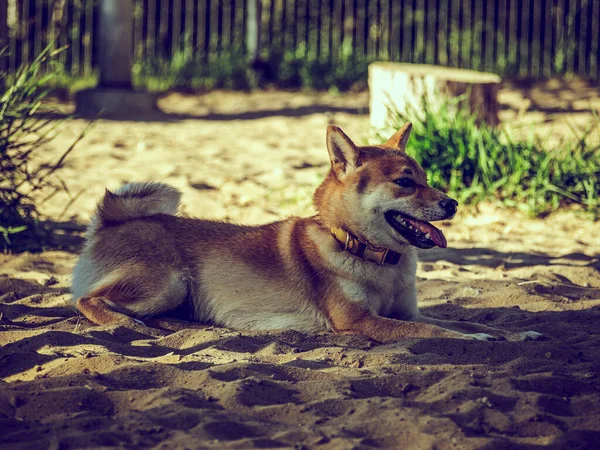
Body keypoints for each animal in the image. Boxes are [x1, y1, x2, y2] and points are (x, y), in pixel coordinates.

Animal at [72, 123, 540, 342]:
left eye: (426, 179)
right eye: (406, 183)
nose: (453, 203)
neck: (367, 253)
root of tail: (112, 220)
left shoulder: (408, 312)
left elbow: (459, 320)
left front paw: (516, 333)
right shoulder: (361, 322)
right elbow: (440, 333)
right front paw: (476, 337)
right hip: (166, 282)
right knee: (86, 300)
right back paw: (128, 325)